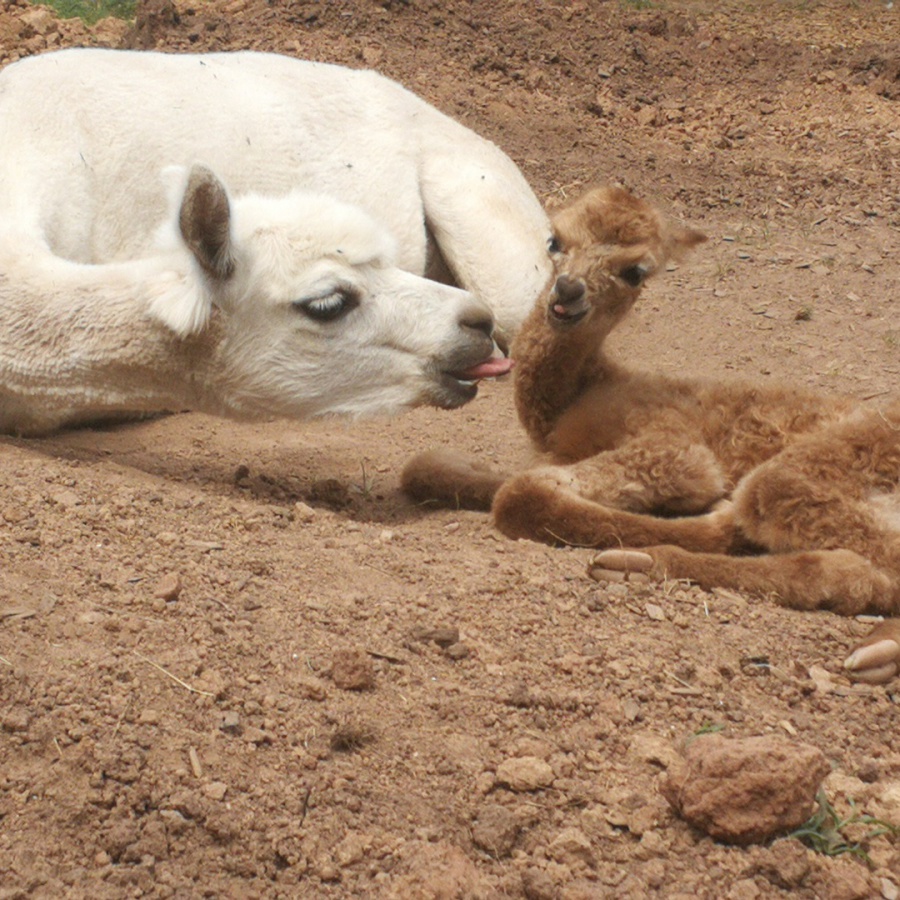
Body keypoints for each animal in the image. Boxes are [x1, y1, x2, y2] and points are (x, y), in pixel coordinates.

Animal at [401, 185, 900, 684]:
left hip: (808, 470)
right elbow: (428, 466)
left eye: (635, 271)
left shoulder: (676, 447)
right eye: (555, 240)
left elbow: (521, 495)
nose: (569, 291)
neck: (579, 396)